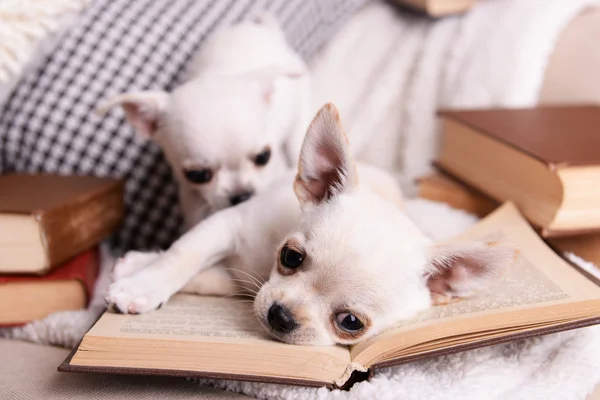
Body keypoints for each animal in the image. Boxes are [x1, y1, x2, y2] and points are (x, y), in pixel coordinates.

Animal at [105, 104, 516, 346]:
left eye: (350, 322)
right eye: (291, 257)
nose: (281, 316)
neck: (262, 265)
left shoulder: (242, 280)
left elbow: (210, 276)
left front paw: (143, 276)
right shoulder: (229, 223)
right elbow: (184, 253)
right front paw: (142, 285)